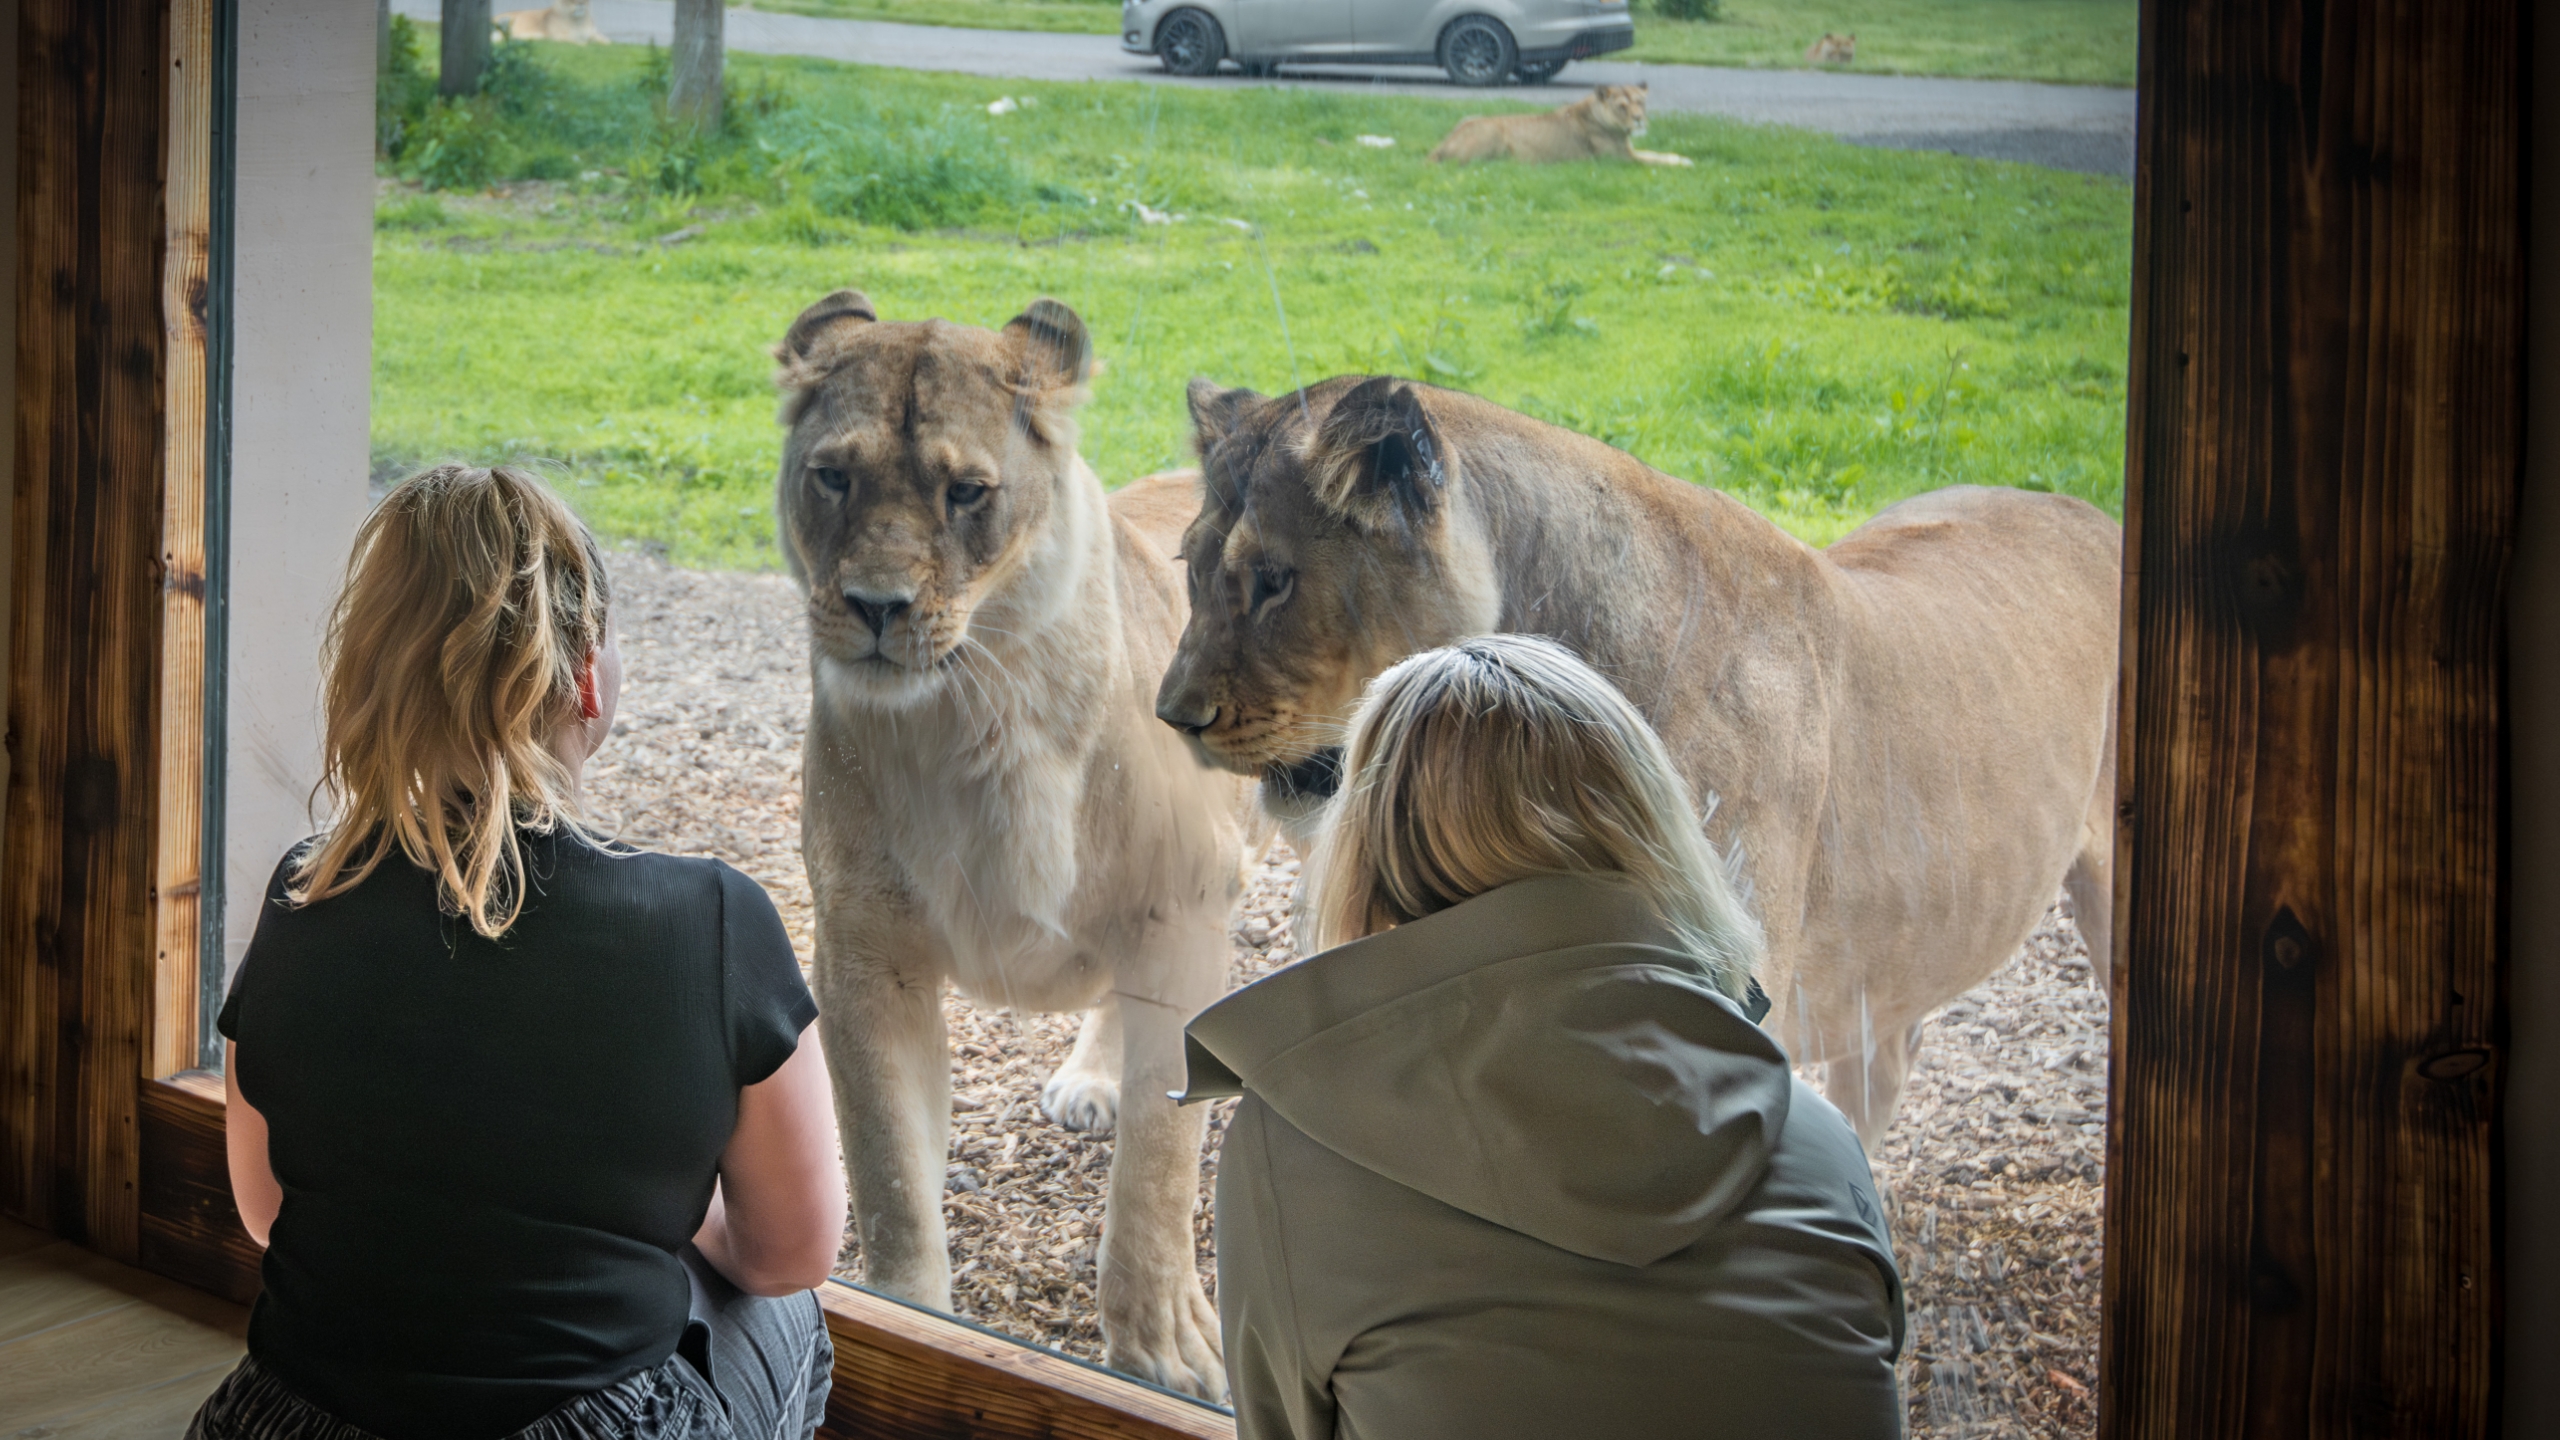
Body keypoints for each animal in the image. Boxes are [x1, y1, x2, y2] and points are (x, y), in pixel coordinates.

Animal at [776, 291, 1253, 1399]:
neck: (972, 709)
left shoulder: (1183, 907)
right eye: (833, 476)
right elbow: (891, 1176)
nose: (875, 608)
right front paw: (910, 1319)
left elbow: (1159, 1162)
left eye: (967, 492)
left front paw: (1162, 1353)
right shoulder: (865, 955)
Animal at [1429, 84, 1694, 167]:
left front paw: (1681, 157)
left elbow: (1656, 153)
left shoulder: (1628, 152)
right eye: (1622, 106)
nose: (1639, 118)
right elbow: (1653, 160)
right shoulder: (1618, 160)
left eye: (1640, 102)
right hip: (1492, 131)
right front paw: (1684, 164)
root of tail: (1441, 145)